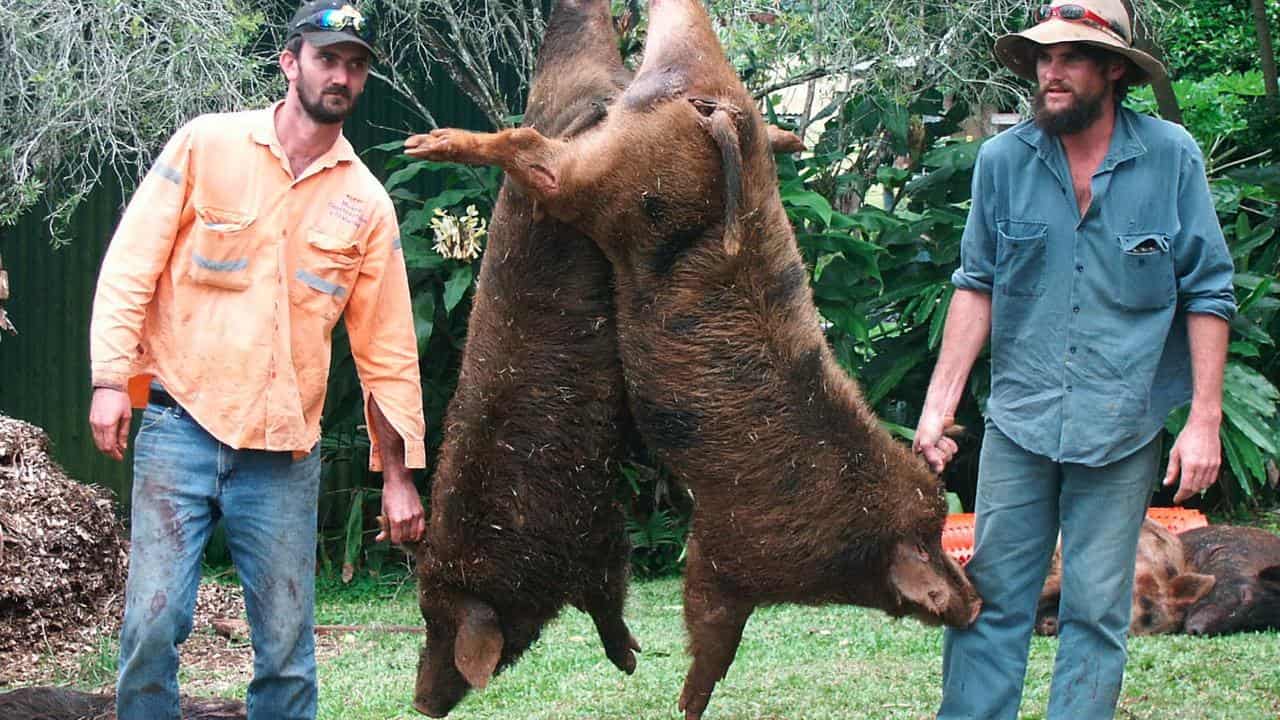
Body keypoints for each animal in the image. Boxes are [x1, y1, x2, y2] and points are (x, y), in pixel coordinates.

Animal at [407, 0, 977, 712]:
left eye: (942, 532)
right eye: (930, 547)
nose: (975, 606)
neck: (851, 534)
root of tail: (717, 113)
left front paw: (656, 685)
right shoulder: (730, 548)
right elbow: (711, 628)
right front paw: (682, 703)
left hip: (658, 106)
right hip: (605, 178)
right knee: (532, 152)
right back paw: (425, 146)